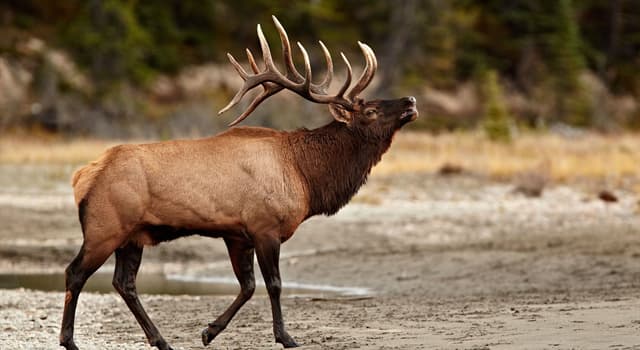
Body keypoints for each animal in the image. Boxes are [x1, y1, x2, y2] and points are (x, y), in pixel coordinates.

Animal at [58, 16, 420, 350]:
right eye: (370, 110)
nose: (411, 101)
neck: (306, 176)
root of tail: (82, 176)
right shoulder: (264, 226)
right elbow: (273, 284)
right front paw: (286, 337)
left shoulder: (237, 234)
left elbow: (247, 286)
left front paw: (208, 331)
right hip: (106, 226)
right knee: (75, 272)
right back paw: (70, 341)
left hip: (133, 235)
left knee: (124, 283)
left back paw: (161, 340)